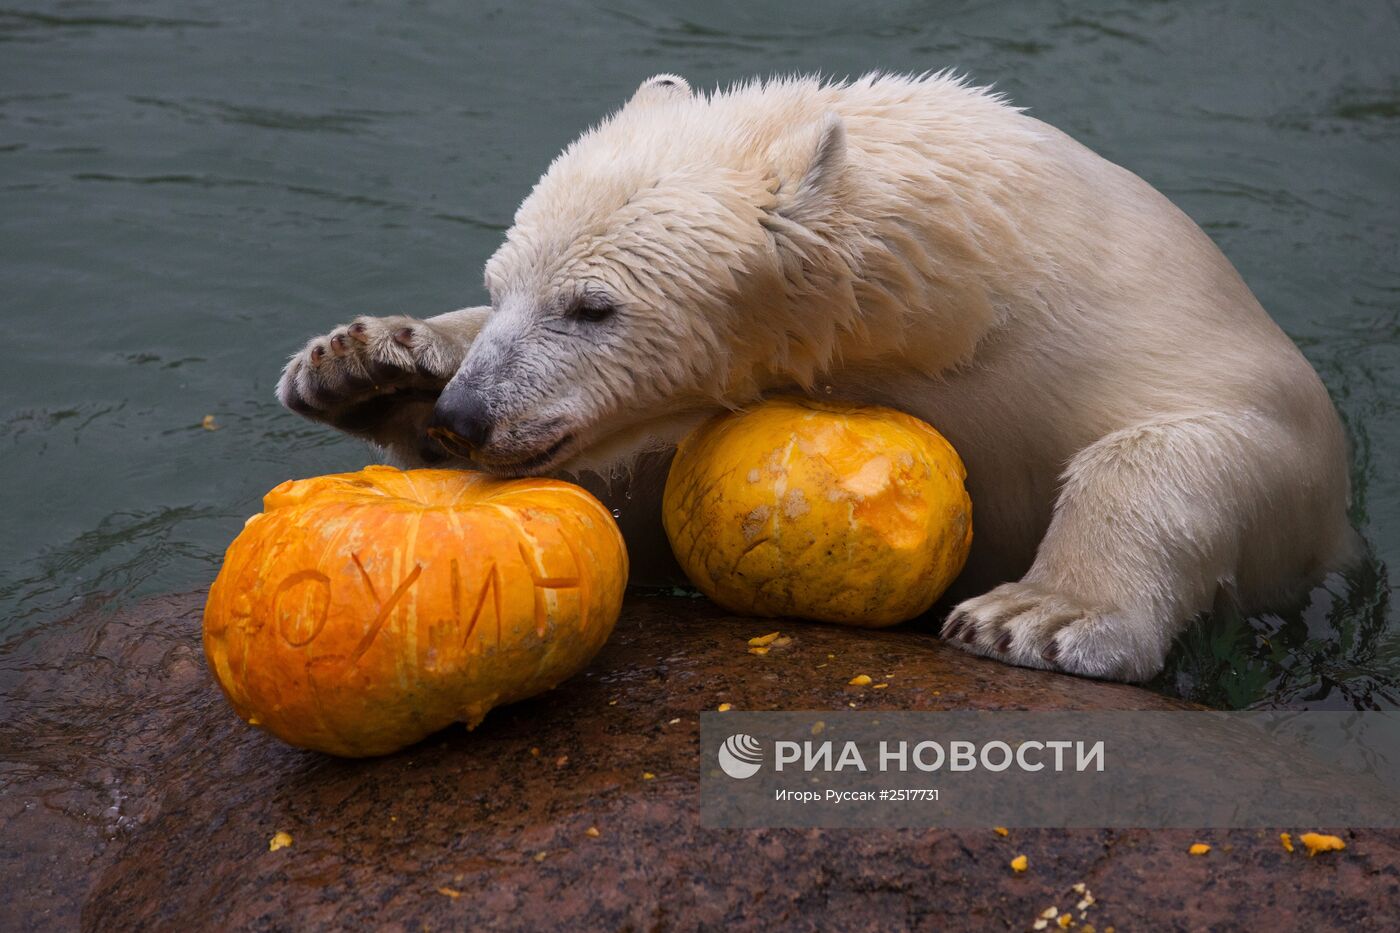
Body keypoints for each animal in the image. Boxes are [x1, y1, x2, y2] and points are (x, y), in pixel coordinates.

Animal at [275, 72, 1355, 680]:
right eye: (500, 287)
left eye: (592, 307)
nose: (468, 416)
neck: (967, 303)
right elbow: (634, 518)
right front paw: (368, 366)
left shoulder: (1161, 344)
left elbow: (1207, 443)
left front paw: (1037, 616)